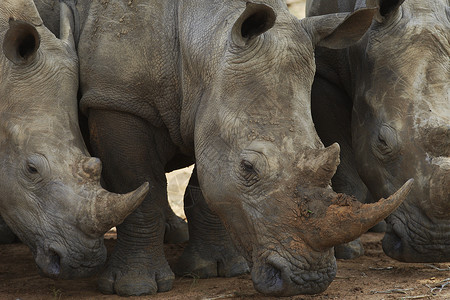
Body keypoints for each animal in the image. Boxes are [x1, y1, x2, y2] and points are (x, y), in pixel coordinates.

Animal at [31, 0, 414, 296]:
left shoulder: (207, 106)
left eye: (323, 149)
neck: (203, 43)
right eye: (249, 168)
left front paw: (216, 269)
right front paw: (134, 288)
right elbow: (141, 189)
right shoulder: (116, 100)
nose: (307, 281)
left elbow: (206, 186)